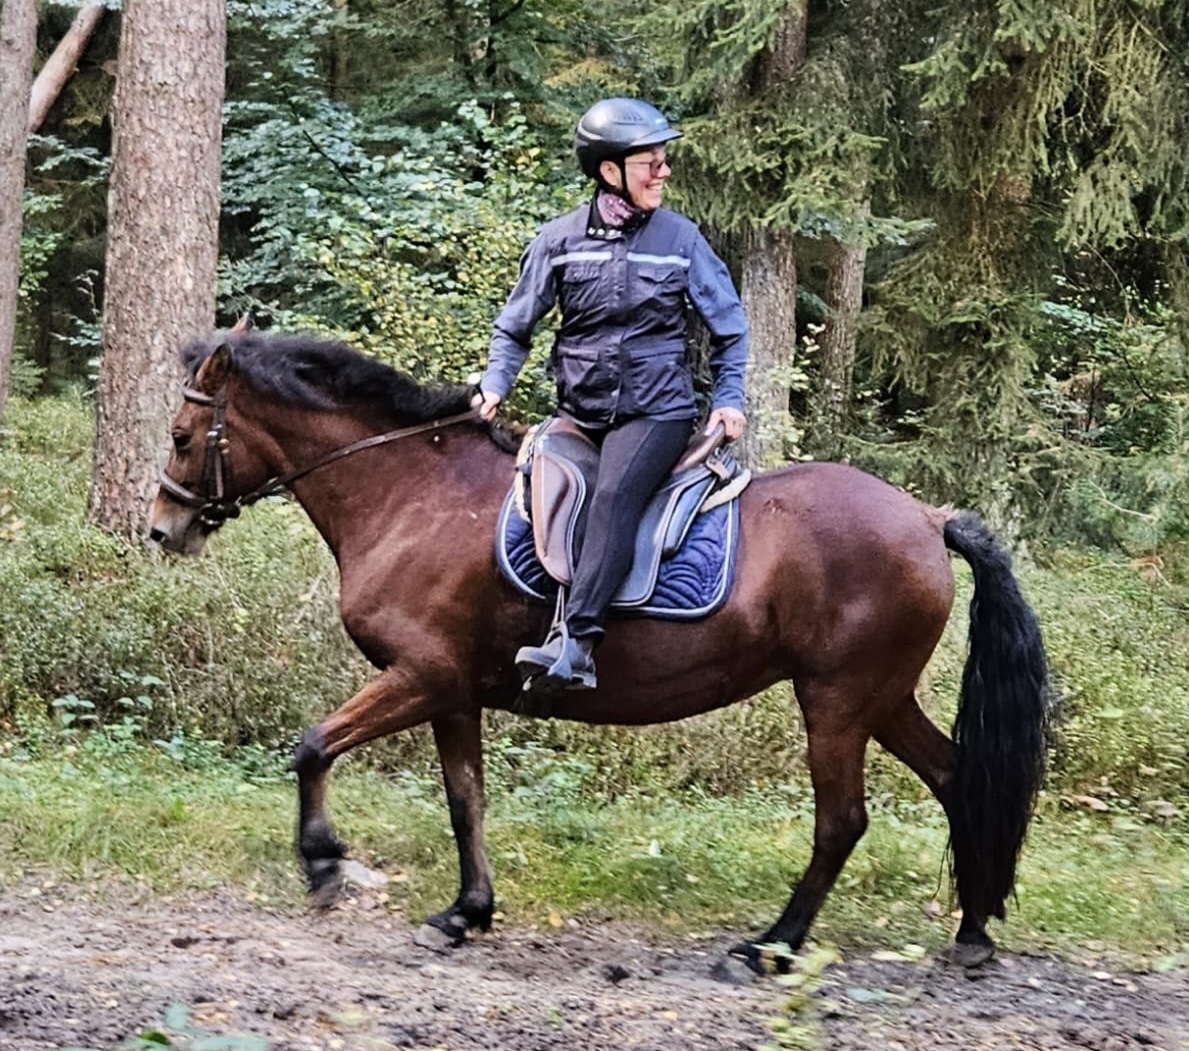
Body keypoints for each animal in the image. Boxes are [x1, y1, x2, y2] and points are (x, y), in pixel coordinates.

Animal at [146, 325, 1051, 970]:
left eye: (184, 434)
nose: (162, 529)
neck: (410, 493)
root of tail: (927, 516)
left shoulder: (421, 674)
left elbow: (311, 746)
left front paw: (324, 863)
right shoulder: (452, 689)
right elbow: (465, 798)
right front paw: (465, 912)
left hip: (834, 699)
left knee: (841, 821)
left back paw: (771, 945)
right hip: (879, 696)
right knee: (955, 777)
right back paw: (971, 930)